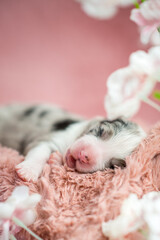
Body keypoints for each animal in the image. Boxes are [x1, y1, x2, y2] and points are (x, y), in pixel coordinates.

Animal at [0, 103, 146, 182]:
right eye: (100, 131)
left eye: (112, 166)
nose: (84, 155)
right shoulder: (50, 138)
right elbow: (40, 152)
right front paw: (28, 171)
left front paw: (56, 159)